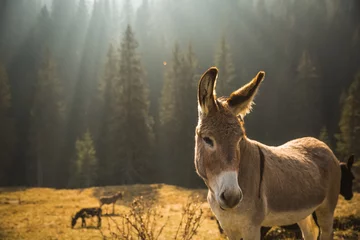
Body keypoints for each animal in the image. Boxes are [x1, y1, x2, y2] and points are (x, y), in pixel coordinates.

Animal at [194, 67, 340, 240]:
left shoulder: (252, 227)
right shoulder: (229, 228)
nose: (232, 197)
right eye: (207, 139)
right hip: (302, 212)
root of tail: (320, 143)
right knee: (310, 232)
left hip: (327, 209)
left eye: (240, 140)